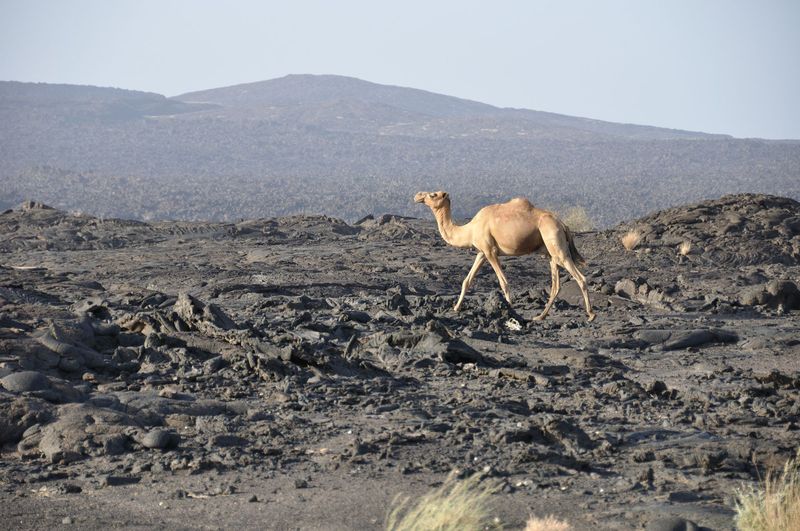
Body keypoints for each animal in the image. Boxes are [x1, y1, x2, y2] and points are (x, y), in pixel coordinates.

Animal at [412, 193, 592, 322]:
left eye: (433, 195)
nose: (417, 195)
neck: (469, 230)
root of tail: (563, 224)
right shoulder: (482, 252)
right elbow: (466, 281)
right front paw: (456, 308)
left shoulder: (490, 251)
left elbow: (503, 282)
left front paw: (511, 310)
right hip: (551, 253)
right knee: (556, 285)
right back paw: (540, 316)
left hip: (556, 244)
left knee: (580, 277)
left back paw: (591, 315)